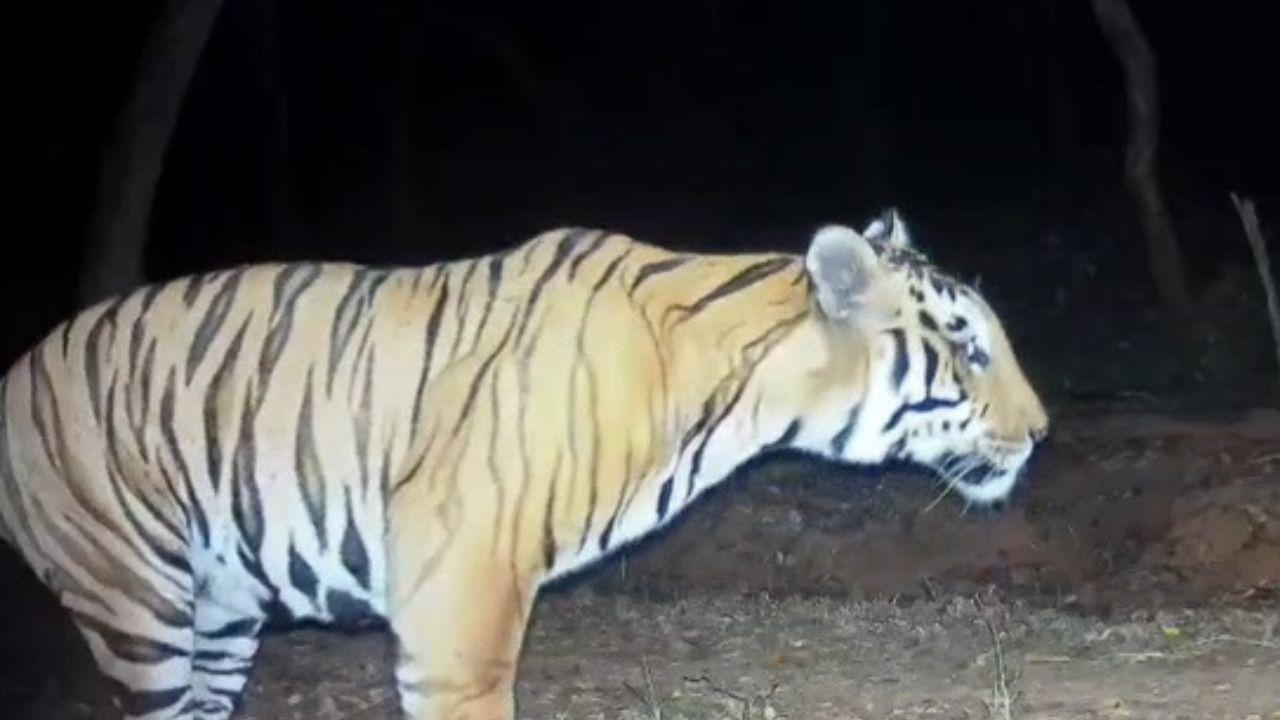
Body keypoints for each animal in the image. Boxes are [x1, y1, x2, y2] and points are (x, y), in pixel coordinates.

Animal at [0, 209, 1047, 720]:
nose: (1041, 431)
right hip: (136, 605)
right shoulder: (456, 617)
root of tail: (15, 370)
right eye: (968, 346)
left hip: (221, 610)